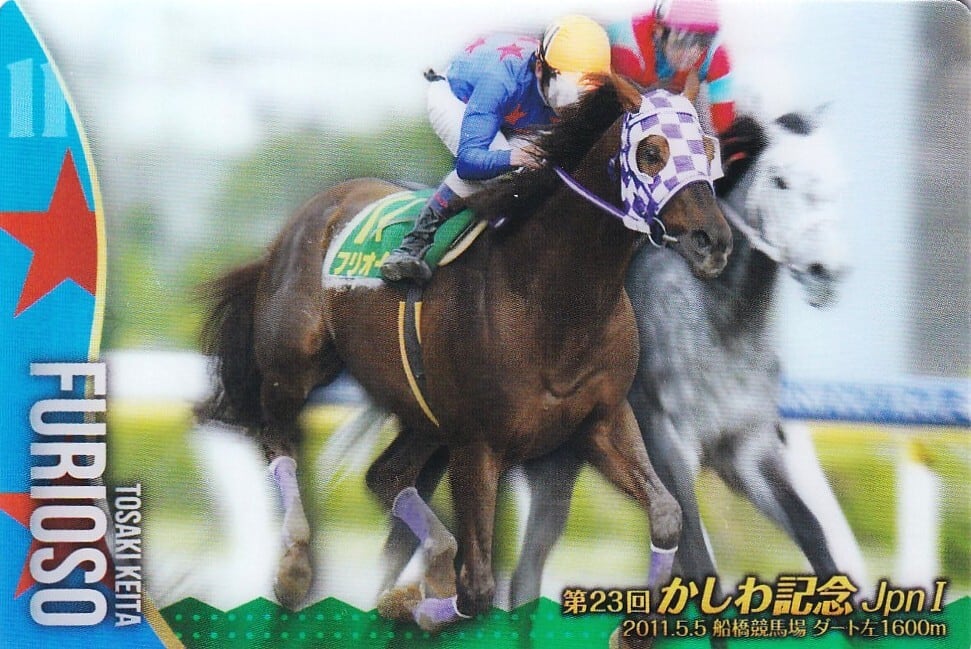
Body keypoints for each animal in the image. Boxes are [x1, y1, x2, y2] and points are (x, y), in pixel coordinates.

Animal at [196, 73, 731, 625]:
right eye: (651, 151)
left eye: (707, 149)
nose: (713, 241)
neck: (551, 298)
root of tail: (302, 219)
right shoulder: (477, 444)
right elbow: (476, 590)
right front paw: (406, 603)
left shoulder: (600, 420)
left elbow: (667, 513)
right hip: (294, 365)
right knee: (277, 436)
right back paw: (296, 567)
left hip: (421, 407)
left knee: (384, 475)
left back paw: (429, 554)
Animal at [509, 107, 860, 613]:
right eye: (781, 181)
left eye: (838, 183)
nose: (825, 272)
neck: (722, 320)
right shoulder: (666, 442)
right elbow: (698, 560)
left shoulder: (746, 446)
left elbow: (813, 533)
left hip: (555, 470)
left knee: (525, 573)